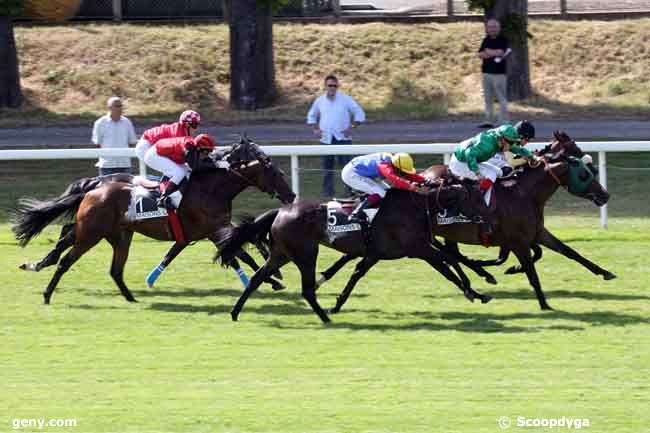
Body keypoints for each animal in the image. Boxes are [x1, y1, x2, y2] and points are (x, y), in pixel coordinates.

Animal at [13, 142, 294, 304]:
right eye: (276, 173)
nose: (291, 196)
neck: (211, 188)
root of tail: (95, 185)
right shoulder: (213, 229)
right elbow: (240, 252)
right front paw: (273, 278)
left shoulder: (206, 231)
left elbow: (236, 248)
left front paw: (272, 274)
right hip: (93, 231)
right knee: (68, 243)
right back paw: (44, 274)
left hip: (112, 232)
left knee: (78, 245)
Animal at [214, 184, 492, 322]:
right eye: (477, 199)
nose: (488, 223)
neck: (415, 206)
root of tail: (280, 211)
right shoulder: (419, 249)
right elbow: (448, 263)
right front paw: (474, 291)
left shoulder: (375, 253)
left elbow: (356, 275)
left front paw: (338, 303)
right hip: (306, 253)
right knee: (306, 289)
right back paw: (324, 318)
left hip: (281, 253)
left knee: (258, 278)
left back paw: (235, 312)